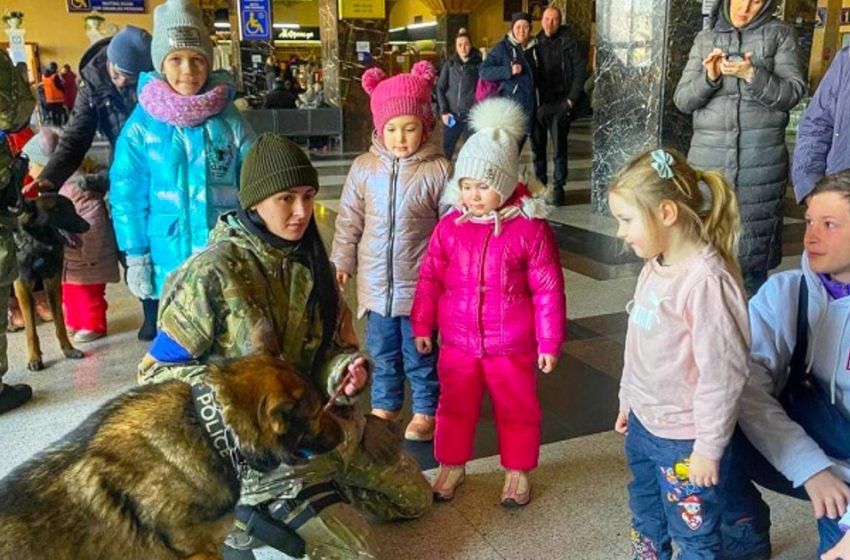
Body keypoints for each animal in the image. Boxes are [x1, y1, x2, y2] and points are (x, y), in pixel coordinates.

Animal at [13, 192, 91, 372]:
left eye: (73, 209)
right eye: (56, 210)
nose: (87, 226)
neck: (39, 244)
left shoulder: (53, 282)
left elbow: (60, 323)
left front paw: (68, 349)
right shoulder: (22, 286)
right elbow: (31, 331)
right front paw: (34, 358)